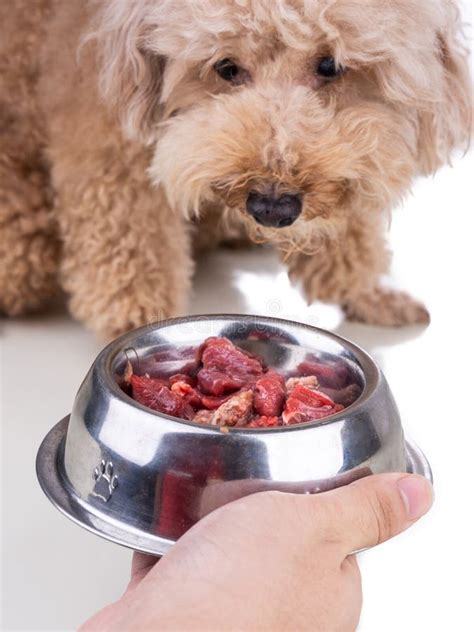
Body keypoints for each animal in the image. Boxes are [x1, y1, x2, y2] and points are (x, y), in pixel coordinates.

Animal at [0, 0, 470, 338]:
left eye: (330, 66)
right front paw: (140, 326)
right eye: (226, 68)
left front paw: (366, 293)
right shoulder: (108, 136)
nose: (271, 208)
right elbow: (133, 244)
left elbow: (347, 227)